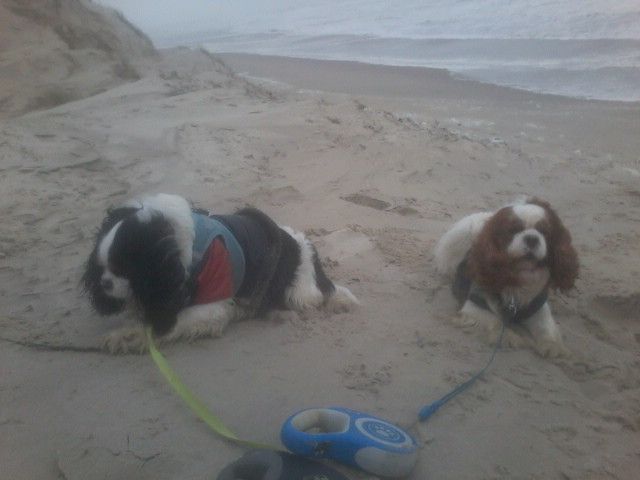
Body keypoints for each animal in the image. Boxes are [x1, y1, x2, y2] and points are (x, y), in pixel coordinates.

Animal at [82, 194, 358, 352]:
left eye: (123, 268)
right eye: (100, 267)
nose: (105, 283)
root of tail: (306, 248)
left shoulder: (212, 302)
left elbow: (174, 321)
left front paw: (129, 335)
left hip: (299, 291)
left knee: (317, 296)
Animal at [436, 196, 580, 356]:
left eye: (545, 232)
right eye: (514, 230)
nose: (532, 238)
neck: (519, 276)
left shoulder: (538, 308)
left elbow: (545, 326)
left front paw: (552, 345)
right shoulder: (473, 306)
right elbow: (495, 320)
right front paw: (509, 337)